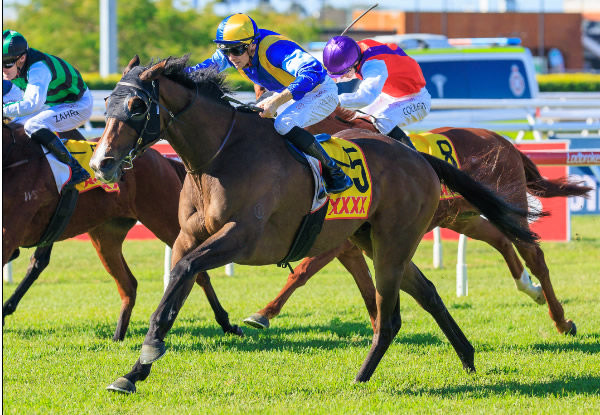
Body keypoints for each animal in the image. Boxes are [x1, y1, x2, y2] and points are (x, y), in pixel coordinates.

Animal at [2, 122, 241, 342]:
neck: (13, 158)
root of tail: (163, 159)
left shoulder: (11, 235)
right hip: (105, 236)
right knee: (129, 285)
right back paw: (118, 337)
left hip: (170, 224)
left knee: (199, 273)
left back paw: (227, 323)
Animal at [89, 55, 540, 394]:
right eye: (107, 101)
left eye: (137, 107)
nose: (101, 163)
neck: (220, 155)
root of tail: (418, 156)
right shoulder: (187, 237)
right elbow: (176, 288)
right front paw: (134, 371)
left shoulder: (243, 238)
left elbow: (184, 273)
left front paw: (148, 354)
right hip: (375, 240)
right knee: (427, 292)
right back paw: (467, 356)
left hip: (393, 243)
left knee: (390, 317)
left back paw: (362, 375)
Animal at [241, 105, 588, 336]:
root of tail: (504, 141)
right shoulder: (346, 243)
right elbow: (362, 282)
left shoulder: (336, 241)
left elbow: (301, 272)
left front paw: (263, 313)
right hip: (463, 216)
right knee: (501, 239)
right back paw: (530, 290)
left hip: (508, 202)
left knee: (534, 254)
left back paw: (561, 320)